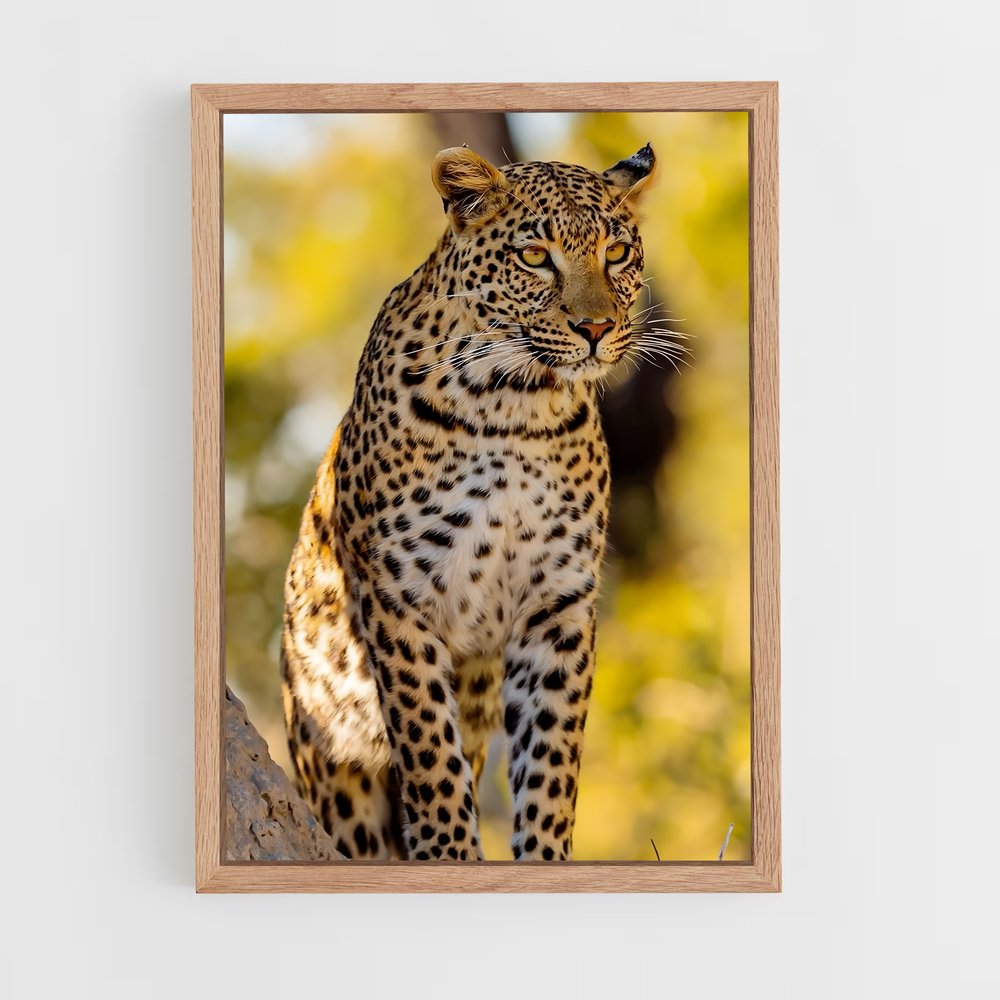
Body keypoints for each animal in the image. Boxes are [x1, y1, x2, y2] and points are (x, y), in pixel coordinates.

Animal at [281, 142, 657, 861]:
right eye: (534, 255)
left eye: (618, 252)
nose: (596, 327)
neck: (515, 405)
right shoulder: (399, 596)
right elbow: (431, 749)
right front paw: (451, 855)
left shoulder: (557, 604)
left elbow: (552, 758)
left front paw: (545, 857)